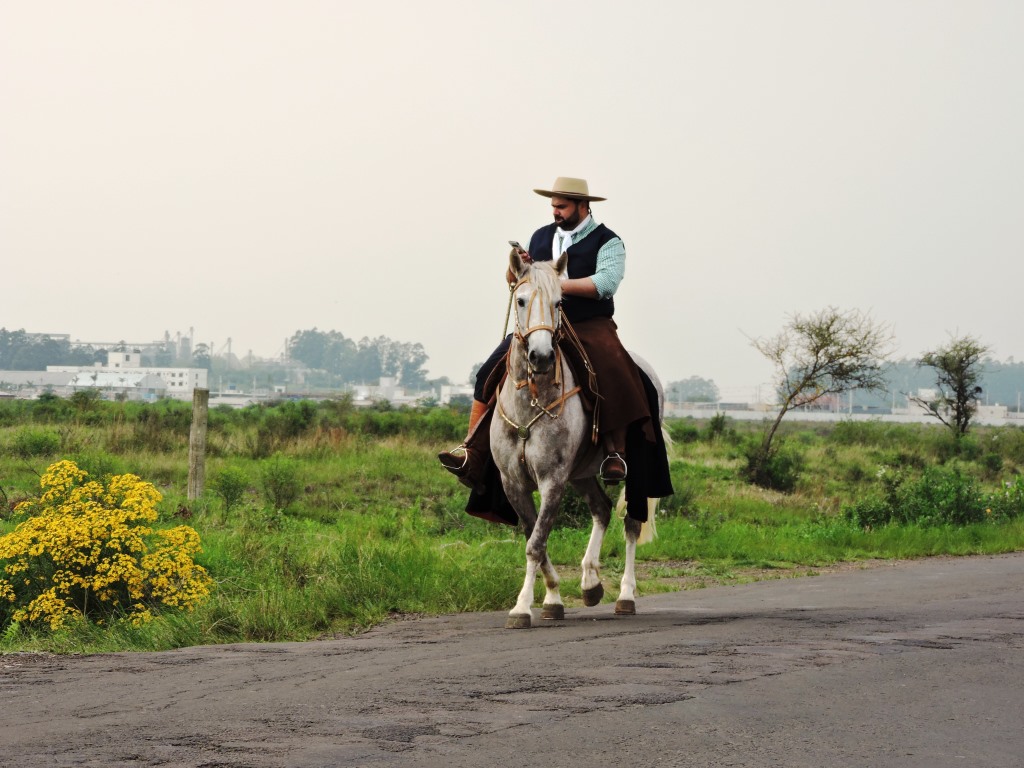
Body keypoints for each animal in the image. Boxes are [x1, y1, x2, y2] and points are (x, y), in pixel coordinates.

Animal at [491, 252, 659, 630]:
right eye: (520, 300)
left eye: (559, 303)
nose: (541, 357)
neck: (531, 400)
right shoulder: (512, 484)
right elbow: (535, 538)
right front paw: (553, 599)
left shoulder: (553, 480)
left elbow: (536, 543)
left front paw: (522, 607)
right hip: (581, 473)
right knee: (602, 508)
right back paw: (590, 583)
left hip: (636, 469)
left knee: (631, 522)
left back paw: (625, 596)